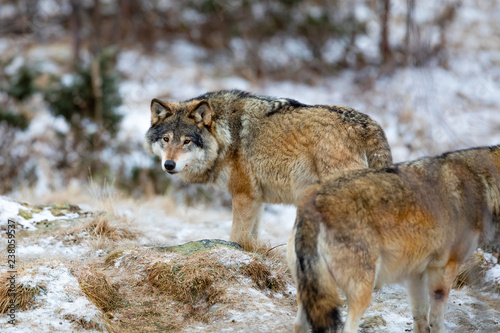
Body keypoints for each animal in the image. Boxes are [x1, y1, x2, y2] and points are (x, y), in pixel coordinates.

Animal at [143, 89, 392, 245]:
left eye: (187, 141)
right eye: (166, 139)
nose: (169, 164)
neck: (225, 137)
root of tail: (367, 122)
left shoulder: (243, 195)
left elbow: (236, 237)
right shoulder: (257, 199)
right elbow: (250, 238)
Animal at [288, 145, 500, 332]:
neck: (485, 184)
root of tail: (314, 200)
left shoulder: (416, 274)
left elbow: (420, 320)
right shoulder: (444, 270)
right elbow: (437, 321)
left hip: (312, 294)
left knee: (299, 325)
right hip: (362, 291)